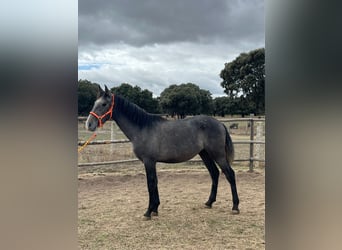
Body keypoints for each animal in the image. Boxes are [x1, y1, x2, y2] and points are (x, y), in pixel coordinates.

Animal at [85, 86, 240, 219]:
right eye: (94, 103)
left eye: (104, 104)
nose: (89, 124)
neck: (142, 128)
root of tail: (220, 123)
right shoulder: (151, 162)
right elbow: (155, 182)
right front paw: (155, 209)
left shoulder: (148, 161)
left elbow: (150, 183)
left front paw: (148, 211)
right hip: (205, 154)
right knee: (214, 173)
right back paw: (209, 202)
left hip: (218, 155)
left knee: (230, 174)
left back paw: (235, 207)